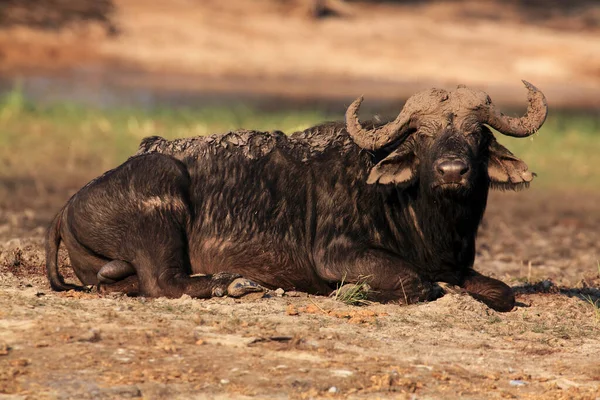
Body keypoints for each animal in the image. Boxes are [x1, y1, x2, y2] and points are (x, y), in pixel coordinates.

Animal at [44, 82, 548, 312]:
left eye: (476, 134)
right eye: (423, 136)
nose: (451, 171)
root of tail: (67, 207)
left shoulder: (458, 265)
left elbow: (502, 292)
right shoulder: (338, 254)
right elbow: (419, 284)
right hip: (162, 191)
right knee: (162, 282)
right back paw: (233, 283)